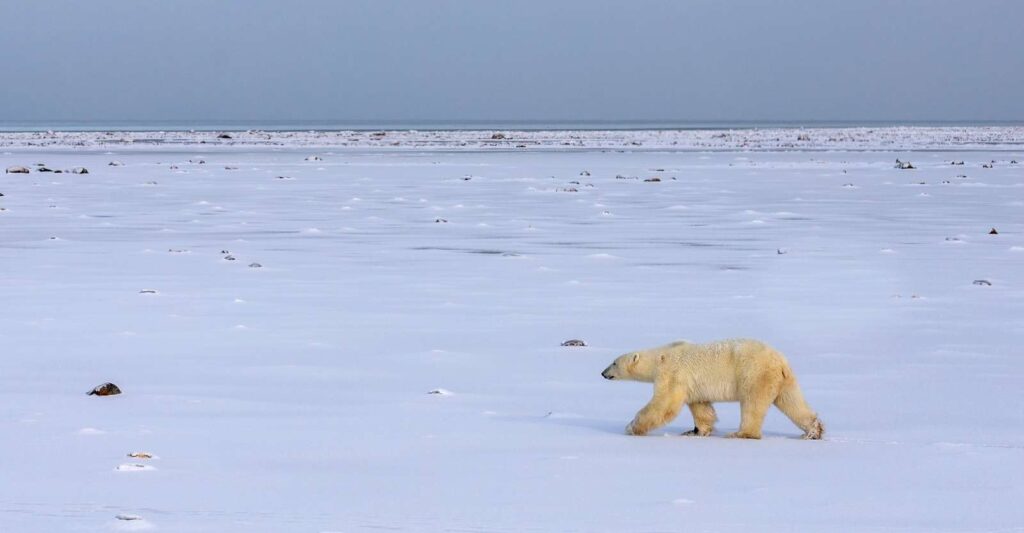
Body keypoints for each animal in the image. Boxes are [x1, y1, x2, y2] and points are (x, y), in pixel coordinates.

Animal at [598, 339, 823, 437]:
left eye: (614, 362)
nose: (602, 372)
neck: (660, 357)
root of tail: (780, 361)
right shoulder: (693, 385)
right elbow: (701, 406)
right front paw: (696, 431)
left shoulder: (673, 374)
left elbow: (664, 404)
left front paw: (631, 427)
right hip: (784, 379)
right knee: (792, 401)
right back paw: (813, 430)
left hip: (755, 374)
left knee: (752, 404)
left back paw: (741, 433)